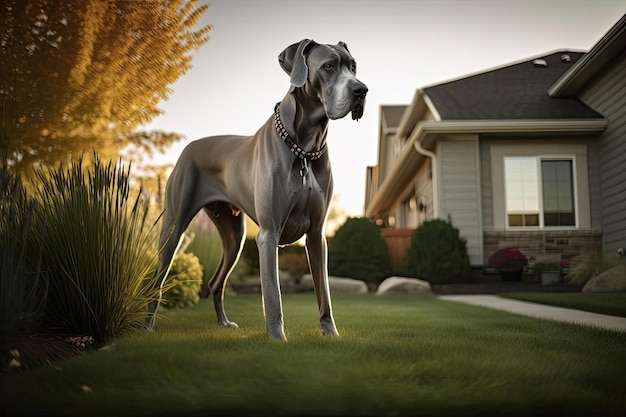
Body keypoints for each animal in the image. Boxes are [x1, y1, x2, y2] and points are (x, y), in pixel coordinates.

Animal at [145, 38, 366, 338]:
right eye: (329, 66)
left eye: (353, 67)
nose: (361, 90)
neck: (305, 149)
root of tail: (188, 147)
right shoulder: (268, 235)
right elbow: (273, 295)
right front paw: (277, 338)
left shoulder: (317, 235)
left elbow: (325, 293)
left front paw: (330, 334)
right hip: (174, 226)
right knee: (158, 280)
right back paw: (147, 327)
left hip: (234, 237)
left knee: (215, 282)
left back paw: (224, 323)